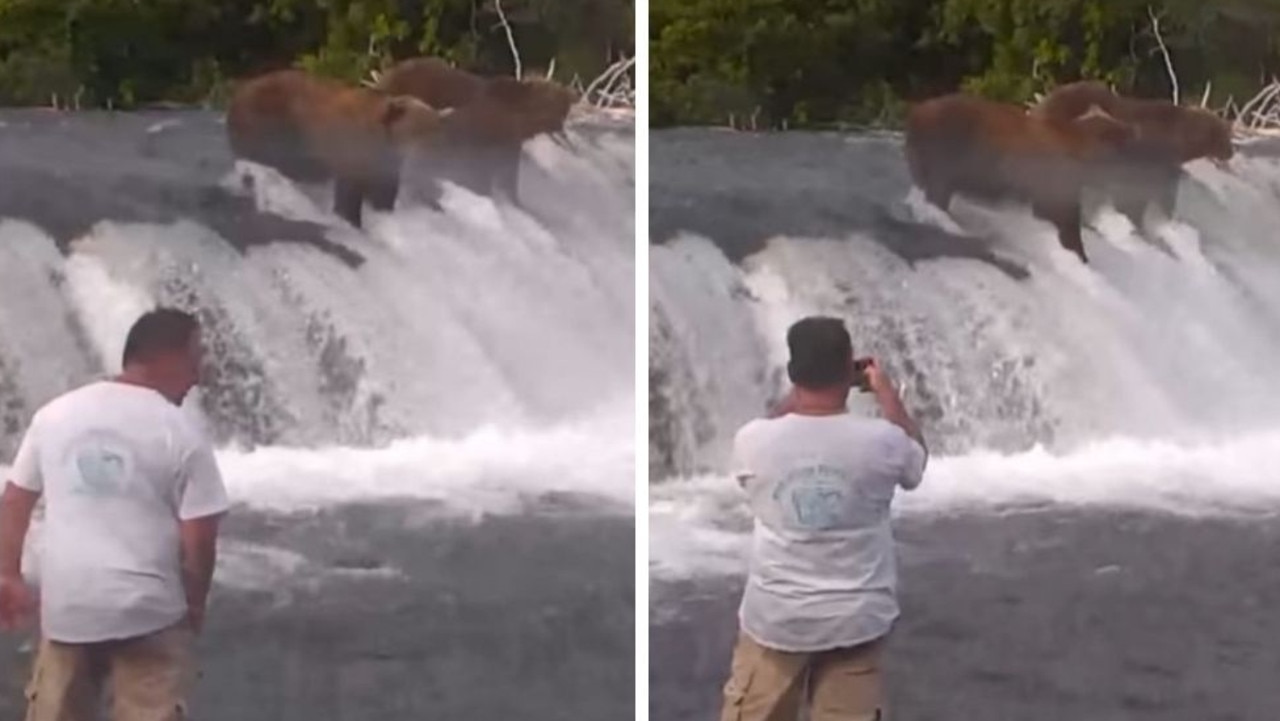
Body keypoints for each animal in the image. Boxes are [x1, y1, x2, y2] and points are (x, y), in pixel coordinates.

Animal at [225, 68, 450, 227]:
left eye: (435, 129)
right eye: (419, 130)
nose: (433, 156)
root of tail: (239, 92)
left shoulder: (385, 167)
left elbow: (383, 193)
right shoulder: (352, 151)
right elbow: (349, 193)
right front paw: (351, 219)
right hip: (271, 124)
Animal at [906, 92, 1136, 262]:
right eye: (1118, 134)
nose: (1132, 130)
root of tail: (918, 112)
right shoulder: (1056, 185)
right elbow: (1065, 221)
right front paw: (1079, 255)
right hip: (946, 155)